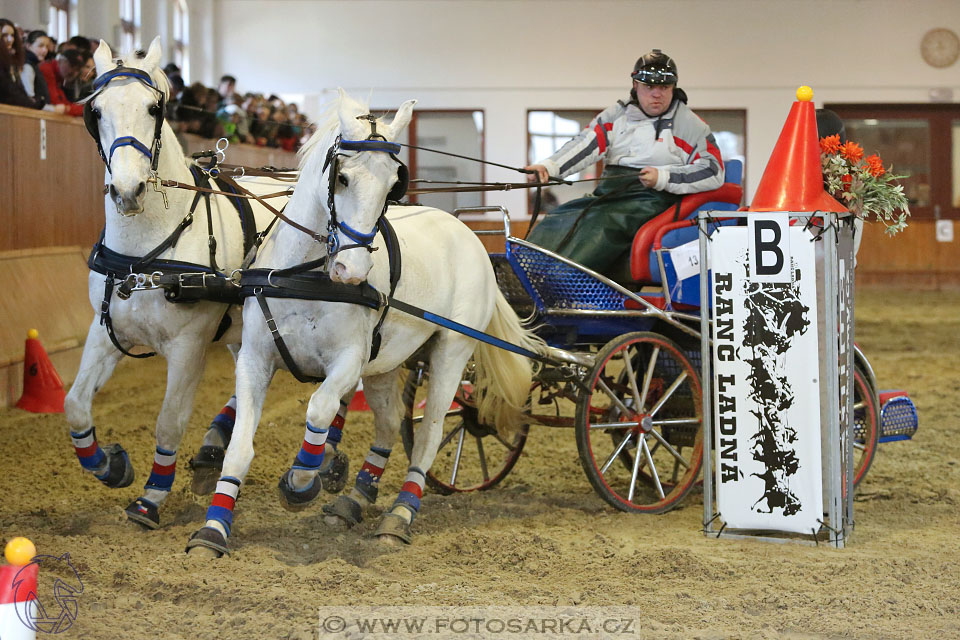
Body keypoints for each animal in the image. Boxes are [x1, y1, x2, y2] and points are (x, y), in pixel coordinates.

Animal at [63, 38, 310, 528]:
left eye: (155, 108)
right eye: (95, 111)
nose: (128, 190)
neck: (146, 253)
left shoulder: (189, 345)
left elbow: (170, 420)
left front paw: (152, 495)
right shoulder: (105, 331)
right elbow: (76, 406)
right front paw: (110, 465)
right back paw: (216, 442)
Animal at [188, 91, 540, 556]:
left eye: (394, 185)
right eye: (342, 178)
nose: (351, 270)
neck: (307, 275)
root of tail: (472, 238)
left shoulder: (349, 362)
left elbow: (320, 408)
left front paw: (301, 483)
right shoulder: (254, 358)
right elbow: (241, 447)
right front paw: (213, 528)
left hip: (451, 351)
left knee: (428, 436)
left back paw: (399, 515)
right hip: (387, 362)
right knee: (390, 423)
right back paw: (355, 500)